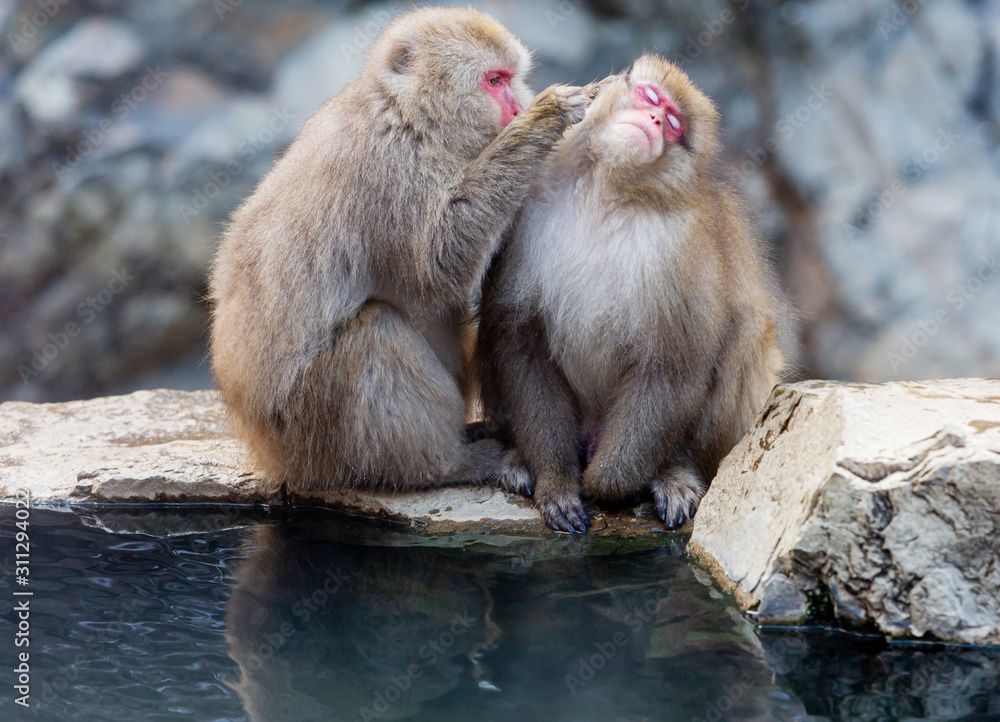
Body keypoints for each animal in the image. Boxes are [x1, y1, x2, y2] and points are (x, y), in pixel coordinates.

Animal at [208, 7, 594, 497]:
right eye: (493, 81)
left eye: (511, 79)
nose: (516, 109)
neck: (413, 115)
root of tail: (266, 451)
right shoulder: (391, 163)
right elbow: (438, 266)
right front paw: (546, 120)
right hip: (307, 431)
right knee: (374, 334)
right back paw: (446, 465)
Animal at [477, 55, 787, 533]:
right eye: (652, 97)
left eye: (675, 124)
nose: (656, 120)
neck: (606, 190)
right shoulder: (524, 211)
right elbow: (519, 340)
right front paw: (557, 481)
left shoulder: (675, 246)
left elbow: (674, 366)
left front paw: (605, 485)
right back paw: (518, 458)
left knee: (749, 331)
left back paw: (673, 471)